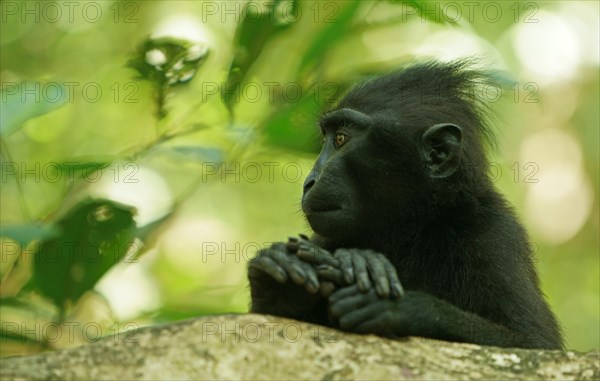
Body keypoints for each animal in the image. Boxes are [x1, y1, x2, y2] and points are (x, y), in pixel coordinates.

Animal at [247, 60, 564, 348]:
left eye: (341, 138)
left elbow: (534, 342)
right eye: (327, 137)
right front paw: (279, 277)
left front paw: (395, 302)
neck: (413, 228)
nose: (309, 182)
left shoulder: (493, 234)